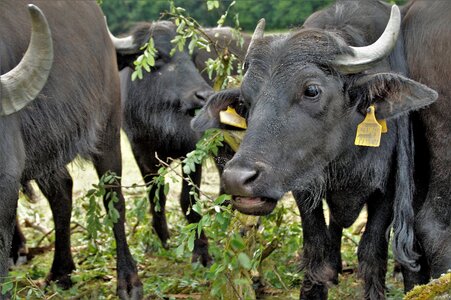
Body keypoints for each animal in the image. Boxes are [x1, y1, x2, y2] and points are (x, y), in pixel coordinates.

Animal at [0, 1, 141, 298]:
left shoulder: (6, 177)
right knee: (62, 192)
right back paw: (61, 272)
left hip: (108, 128)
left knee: (114, 199)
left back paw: (128, 280)